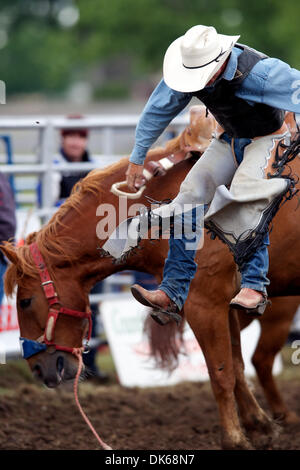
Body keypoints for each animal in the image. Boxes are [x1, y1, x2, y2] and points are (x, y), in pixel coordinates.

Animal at [1, 119, 300, 450]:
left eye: (25, 301)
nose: (38, 368)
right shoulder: (223, 303)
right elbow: (235, 365)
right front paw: (259, 426)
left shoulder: (204, 303)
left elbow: (220, 372)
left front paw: (234, 439)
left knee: (262, 358)